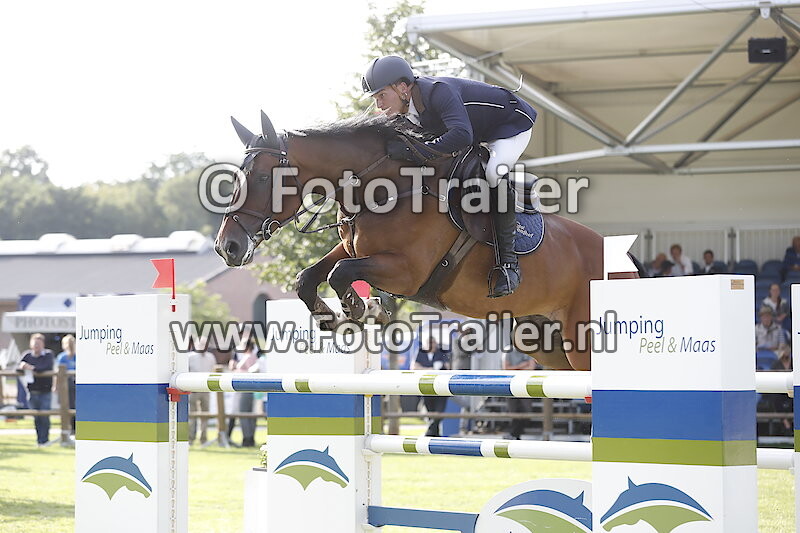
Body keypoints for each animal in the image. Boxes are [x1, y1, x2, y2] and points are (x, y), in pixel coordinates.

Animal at [215, 111, 637, 370]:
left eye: (263, 177)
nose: (227, 247)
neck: (386, 189)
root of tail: (629, 266)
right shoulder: (354, 247)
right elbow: (310, 276)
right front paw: (332, 317)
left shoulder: (407, 271)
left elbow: (340, 273)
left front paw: (360, 309)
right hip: (543, 342)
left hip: (581, 342)